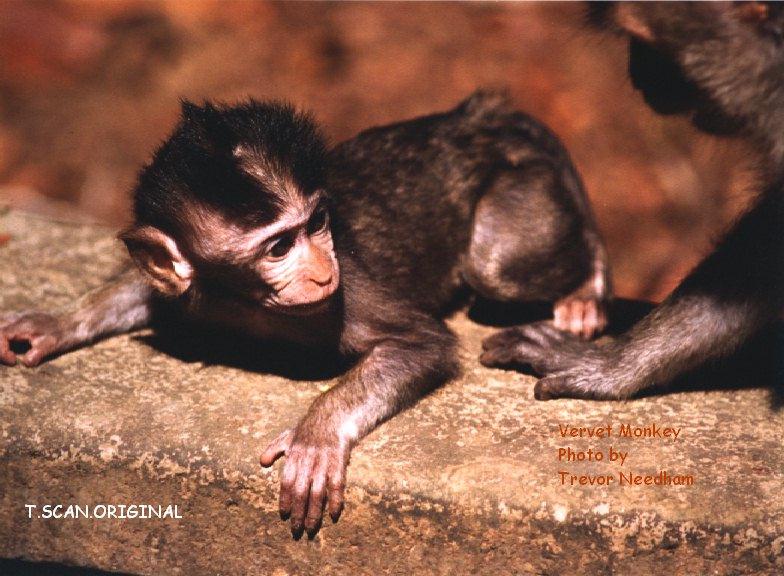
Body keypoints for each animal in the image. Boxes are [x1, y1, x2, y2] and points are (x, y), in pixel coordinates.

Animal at [0, 92, 608, 536]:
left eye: (316, 224)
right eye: (277, 248)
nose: (320, 271)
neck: (247, 301)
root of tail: (477, 117)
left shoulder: (349, 290)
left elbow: (421, 343)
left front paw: (315, 436)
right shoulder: (186, 286)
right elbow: (142, 286)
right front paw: (51, 325)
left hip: (524, 182)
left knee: (495, 266)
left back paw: (584, 290)